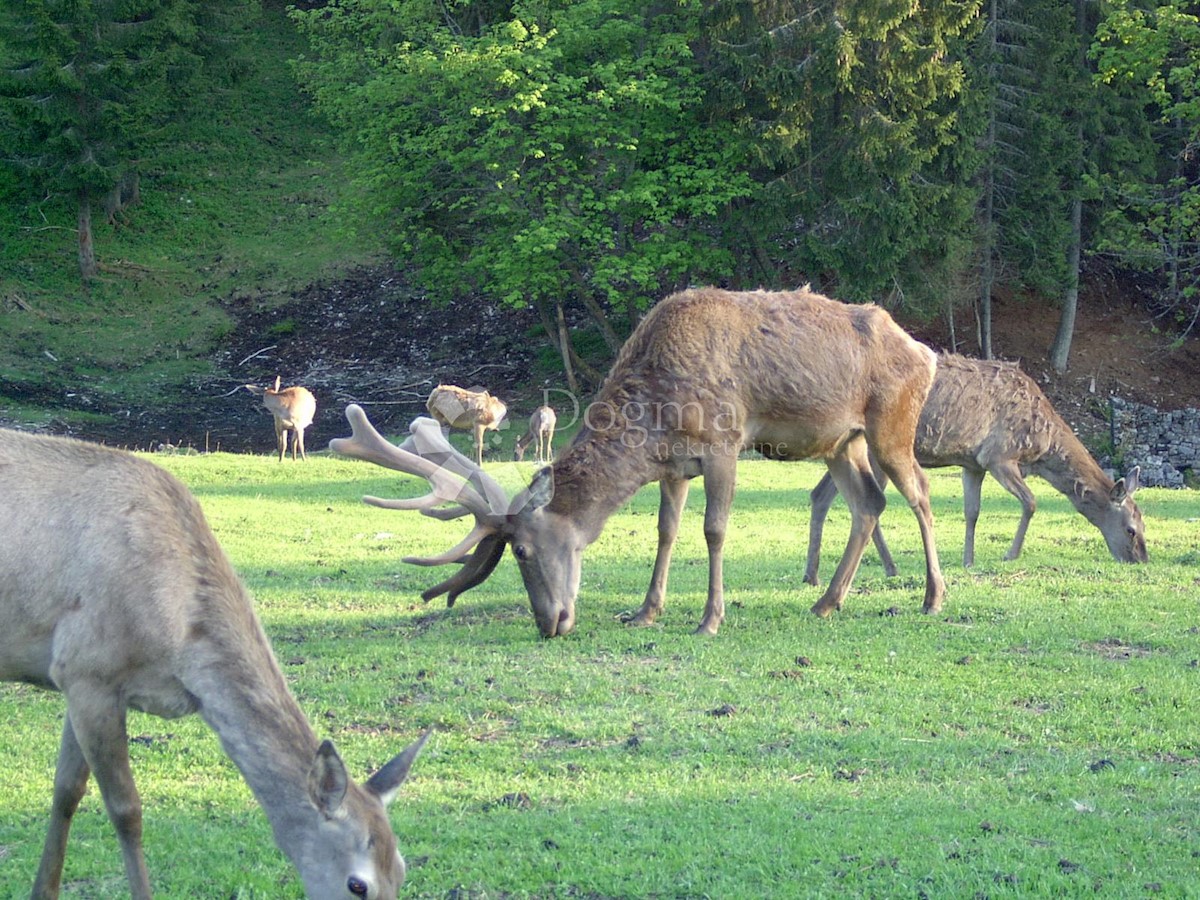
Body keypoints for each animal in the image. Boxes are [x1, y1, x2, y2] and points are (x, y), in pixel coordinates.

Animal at [0, 432, 429, 900]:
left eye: (401, 870)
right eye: (357, 884)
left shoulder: (77, 677)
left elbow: (66, 790)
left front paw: (42, 891)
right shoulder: (89, 666)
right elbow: (125, 808)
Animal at [336, 285, 945, 638]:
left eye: (523, 551)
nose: (549, 624)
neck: (654, 409)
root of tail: (925, 351)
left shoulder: (723, 440)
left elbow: (714, 529)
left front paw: (709, 619)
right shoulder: (674, 464)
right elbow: (666, 529)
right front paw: (645, 611)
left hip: (893, 424)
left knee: (917, 493)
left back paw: (932, 598)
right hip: (840, 440)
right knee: (869, 502)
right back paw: (826, 602)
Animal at [801, 352, 1147, 585]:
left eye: (1143, 523)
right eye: (1131, 529)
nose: (1141, 559)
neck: (1042, 448)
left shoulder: (973, 464)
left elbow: (972, 512)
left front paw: (968, 561)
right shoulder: (999, 456)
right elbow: (1031, 502)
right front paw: (1010, 554)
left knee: (822, 493)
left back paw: (814, 574)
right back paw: (887, 567)